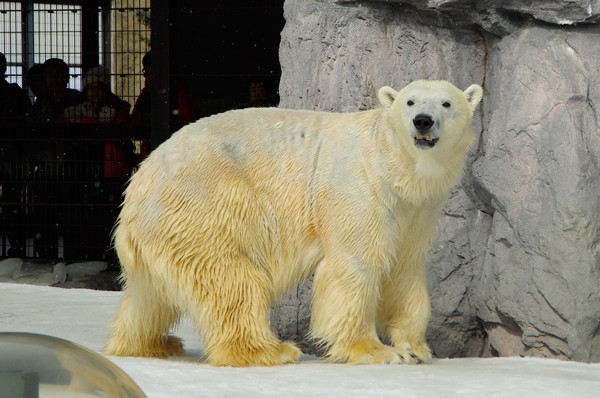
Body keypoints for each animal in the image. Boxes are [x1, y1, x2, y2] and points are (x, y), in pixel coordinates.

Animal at [104, 80, 482, 366]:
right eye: (409, 100)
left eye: (447, 103)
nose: (423, 121)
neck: (391, 165)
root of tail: (137, 186)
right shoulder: (359, 190)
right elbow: (355, 266)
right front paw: (377, 351)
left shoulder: (416, 212)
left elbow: (404, 270)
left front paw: (415, 348)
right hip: (206, 206)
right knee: (232, 278)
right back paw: (271, 350)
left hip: (164, 226)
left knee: (148, 295)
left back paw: (151, 344)